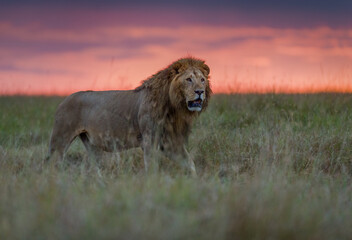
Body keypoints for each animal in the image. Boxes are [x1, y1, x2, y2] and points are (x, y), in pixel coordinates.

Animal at [47, 57, 212, 175]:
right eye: (188, 79)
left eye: (202, 80)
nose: (200, 92)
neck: (174, 107)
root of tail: (64, 100)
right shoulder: (149, 140)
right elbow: (151, 166)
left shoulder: (171, 141)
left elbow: (189, 162)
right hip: (60, 139)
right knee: (51, 163)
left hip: (91, 144)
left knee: (95, 167)